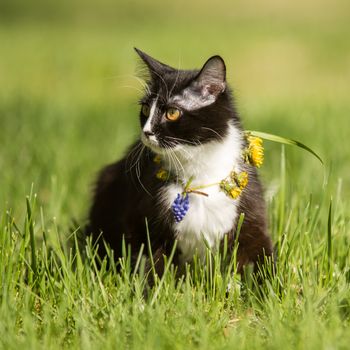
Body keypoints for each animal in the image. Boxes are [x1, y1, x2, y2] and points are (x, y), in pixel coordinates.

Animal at [86, 47, 272, 276]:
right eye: (145, 110)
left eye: (172, 112)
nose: (146, 132)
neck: (198, 173)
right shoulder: (146, 224)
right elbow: (152, 266)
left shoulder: (249, 212)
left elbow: (261, 256)